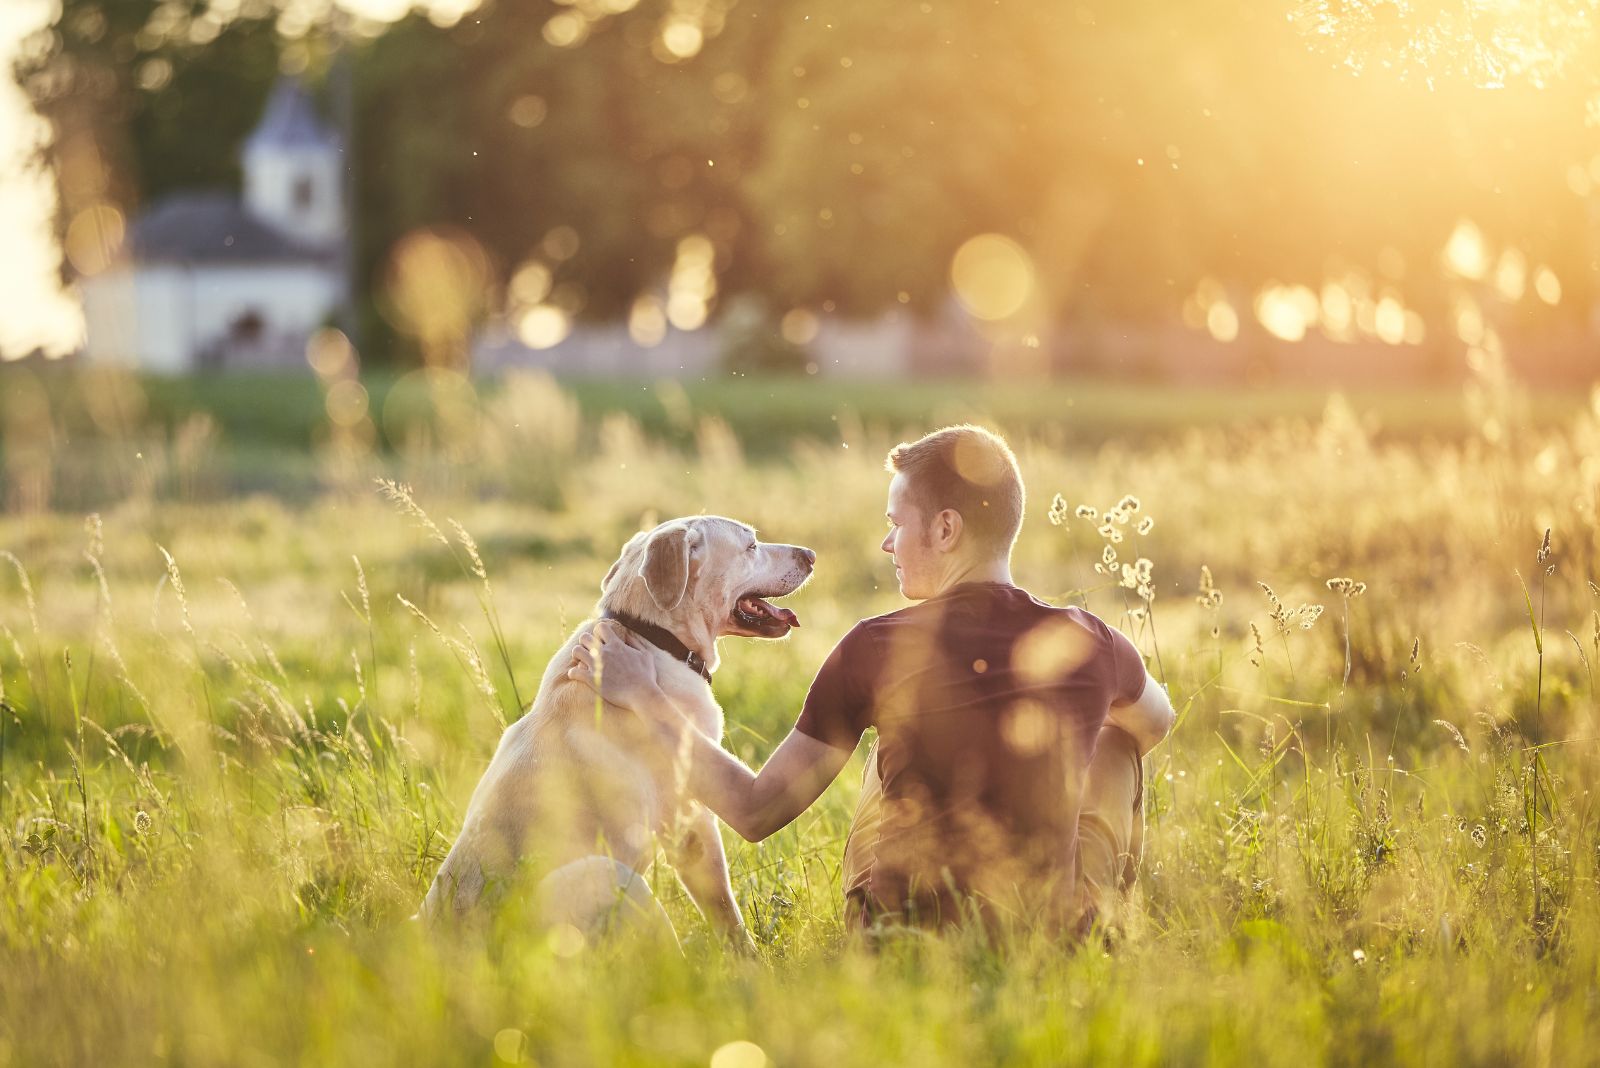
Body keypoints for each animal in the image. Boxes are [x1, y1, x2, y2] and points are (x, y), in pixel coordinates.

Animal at [419, 514, 812, 940]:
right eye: (751, 546)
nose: (810, 555)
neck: (651, 635)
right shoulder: (690, 817)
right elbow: (726, 910)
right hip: (611, 874)